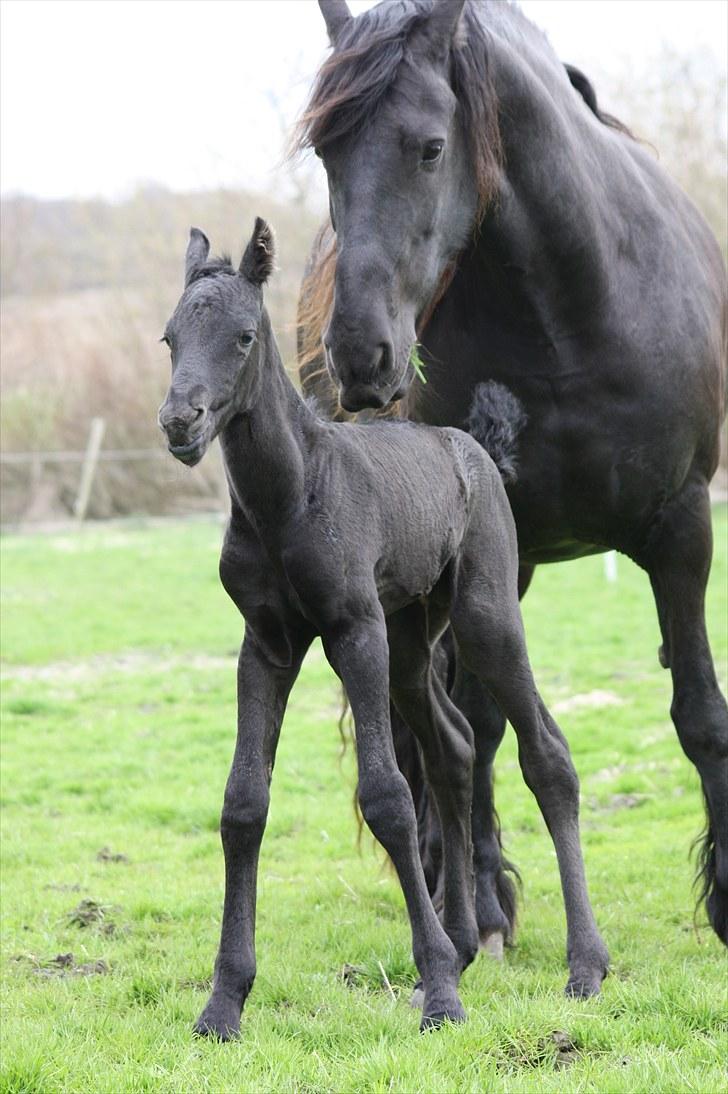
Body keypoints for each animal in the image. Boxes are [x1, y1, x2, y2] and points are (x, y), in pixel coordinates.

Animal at [158, 217, 608, 1037]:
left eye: (243, 337)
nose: (180, 422)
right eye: (170, 338)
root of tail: (476, 446)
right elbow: (243, 804)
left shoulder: (353, 630)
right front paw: (223, 1002)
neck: (287, 497)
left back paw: (583, 965)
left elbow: (389, 798)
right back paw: (462, 942)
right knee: (454, 747)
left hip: (484, 619)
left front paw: (439, 996)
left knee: (546, 755)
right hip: (409, 640)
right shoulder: (265, 644)